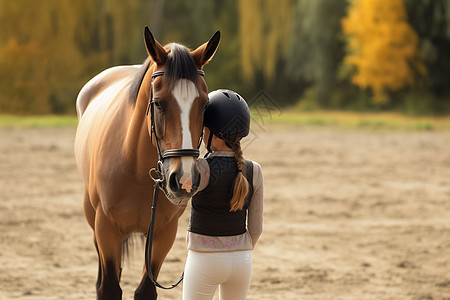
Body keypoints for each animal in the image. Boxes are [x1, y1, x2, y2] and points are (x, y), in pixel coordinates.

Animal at [74, 27, 220, 298]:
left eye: (205, 104)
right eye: (159, 103)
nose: (184, 179)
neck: (136, 168)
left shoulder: (163, 234)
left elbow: (145, 290)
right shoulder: (106, 229)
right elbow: (109, 288)